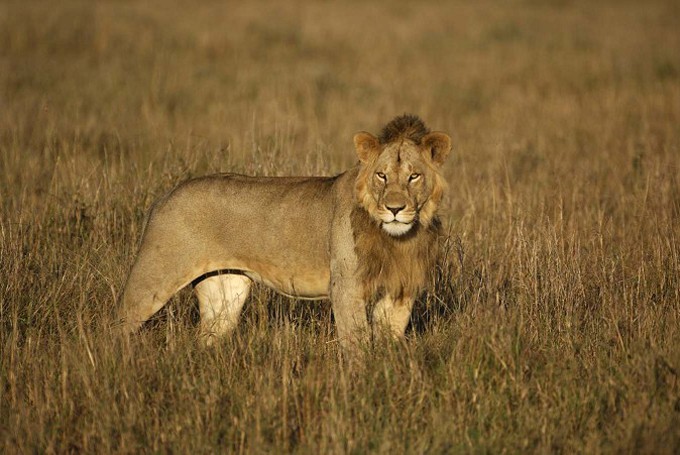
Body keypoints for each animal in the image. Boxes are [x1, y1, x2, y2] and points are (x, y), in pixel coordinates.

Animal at [119, 115, 452, 350]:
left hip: (224, 290)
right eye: (381, 176)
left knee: (208, 336)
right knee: (119, 324)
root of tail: (165, 196)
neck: (397, 239)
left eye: (414, 176)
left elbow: (388, 340)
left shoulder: (401, 289)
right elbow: (356, 344)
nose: (394, 209)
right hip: (153, 279)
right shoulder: (346, 286)